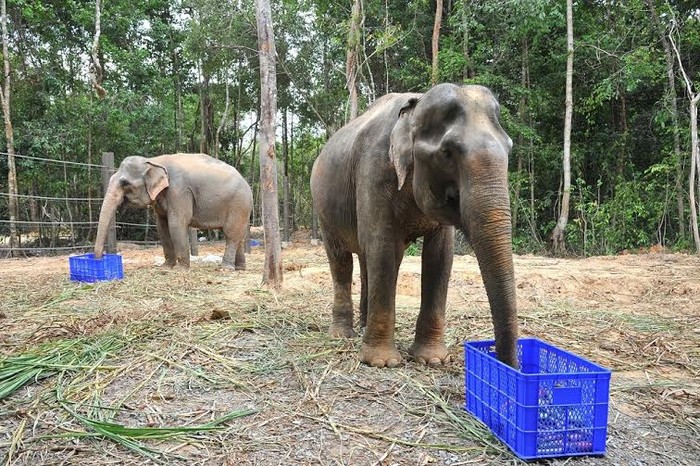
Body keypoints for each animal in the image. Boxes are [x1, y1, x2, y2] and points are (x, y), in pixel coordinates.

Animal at [94, 153, 253, 270]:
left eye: (125, 183)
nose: (100, 258)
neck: (153, 161)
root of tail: (246, 182)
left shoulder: (179, 191)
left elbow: (176, 224)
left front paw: (180, 270)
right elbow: (162, 226)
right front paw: (165, 267)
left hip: (238, 204)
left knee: (231, 234)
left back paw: (225, 268)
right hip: (242, 208)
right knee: (239, 236)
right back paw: (240, 268)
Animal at [312, 83, 520, 368]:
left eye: (509, 148)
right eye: (447, 152)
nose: (511, 368)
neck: (415, 108)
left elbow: (440, 257)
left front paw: (431, 359)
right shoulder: (374, 170)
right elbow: (383, 247)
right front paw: (383, 362)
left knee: (367, 260)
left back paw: (364, 326)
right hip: (324, 212)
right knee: (342, 261)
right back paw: (342, 335)